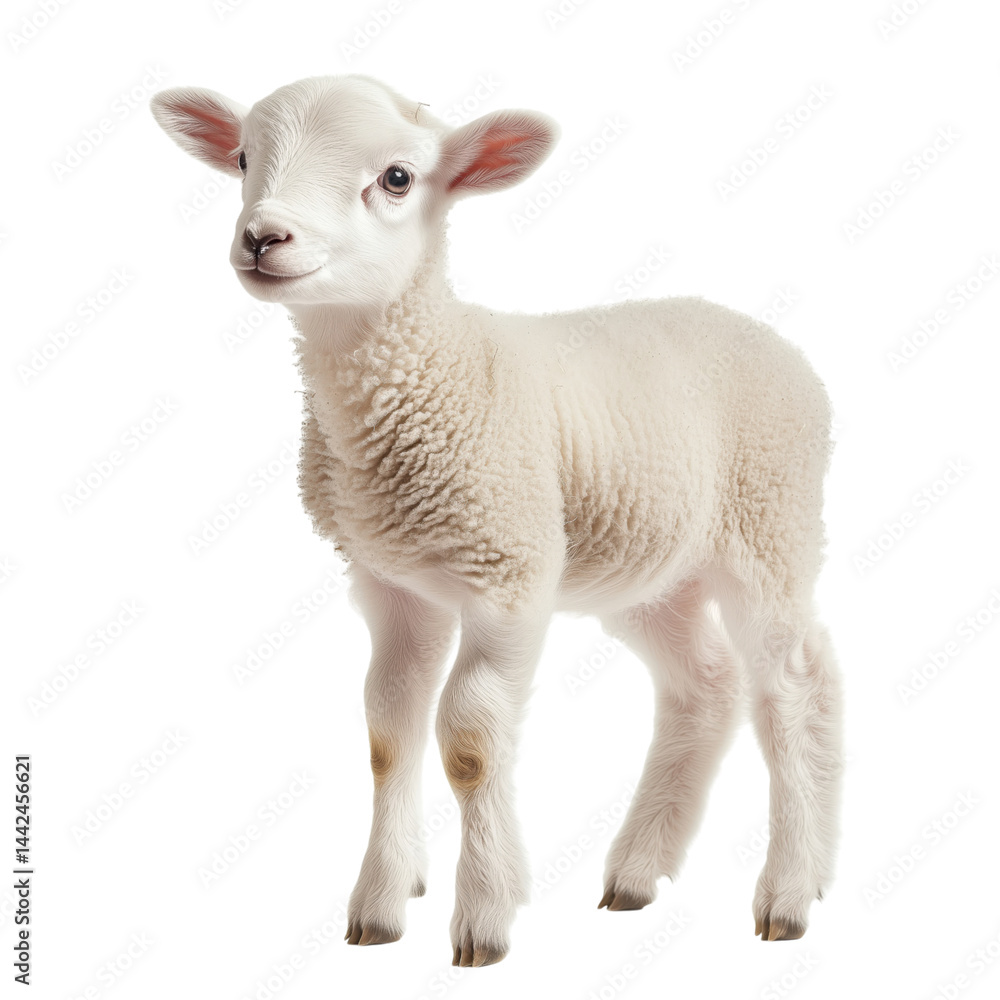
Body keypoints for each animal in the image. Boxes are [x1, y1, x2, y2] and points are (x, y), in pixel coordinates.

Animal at [151, 74, 843, 968]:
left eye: (399, 178)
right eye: (241, 157)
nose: (264, 237)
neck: (437, 370)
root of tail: (775, 344)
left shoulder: (508, 575)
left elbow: (470, 739)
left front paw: (483, 912)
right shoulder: (391, 583)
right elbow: (388, 734)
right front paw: (381, 903)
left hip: (769, 523)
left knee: (793, 685)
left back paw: (791, 890)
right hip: (649, 568)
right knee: (707, 684)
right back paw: (638, 872)